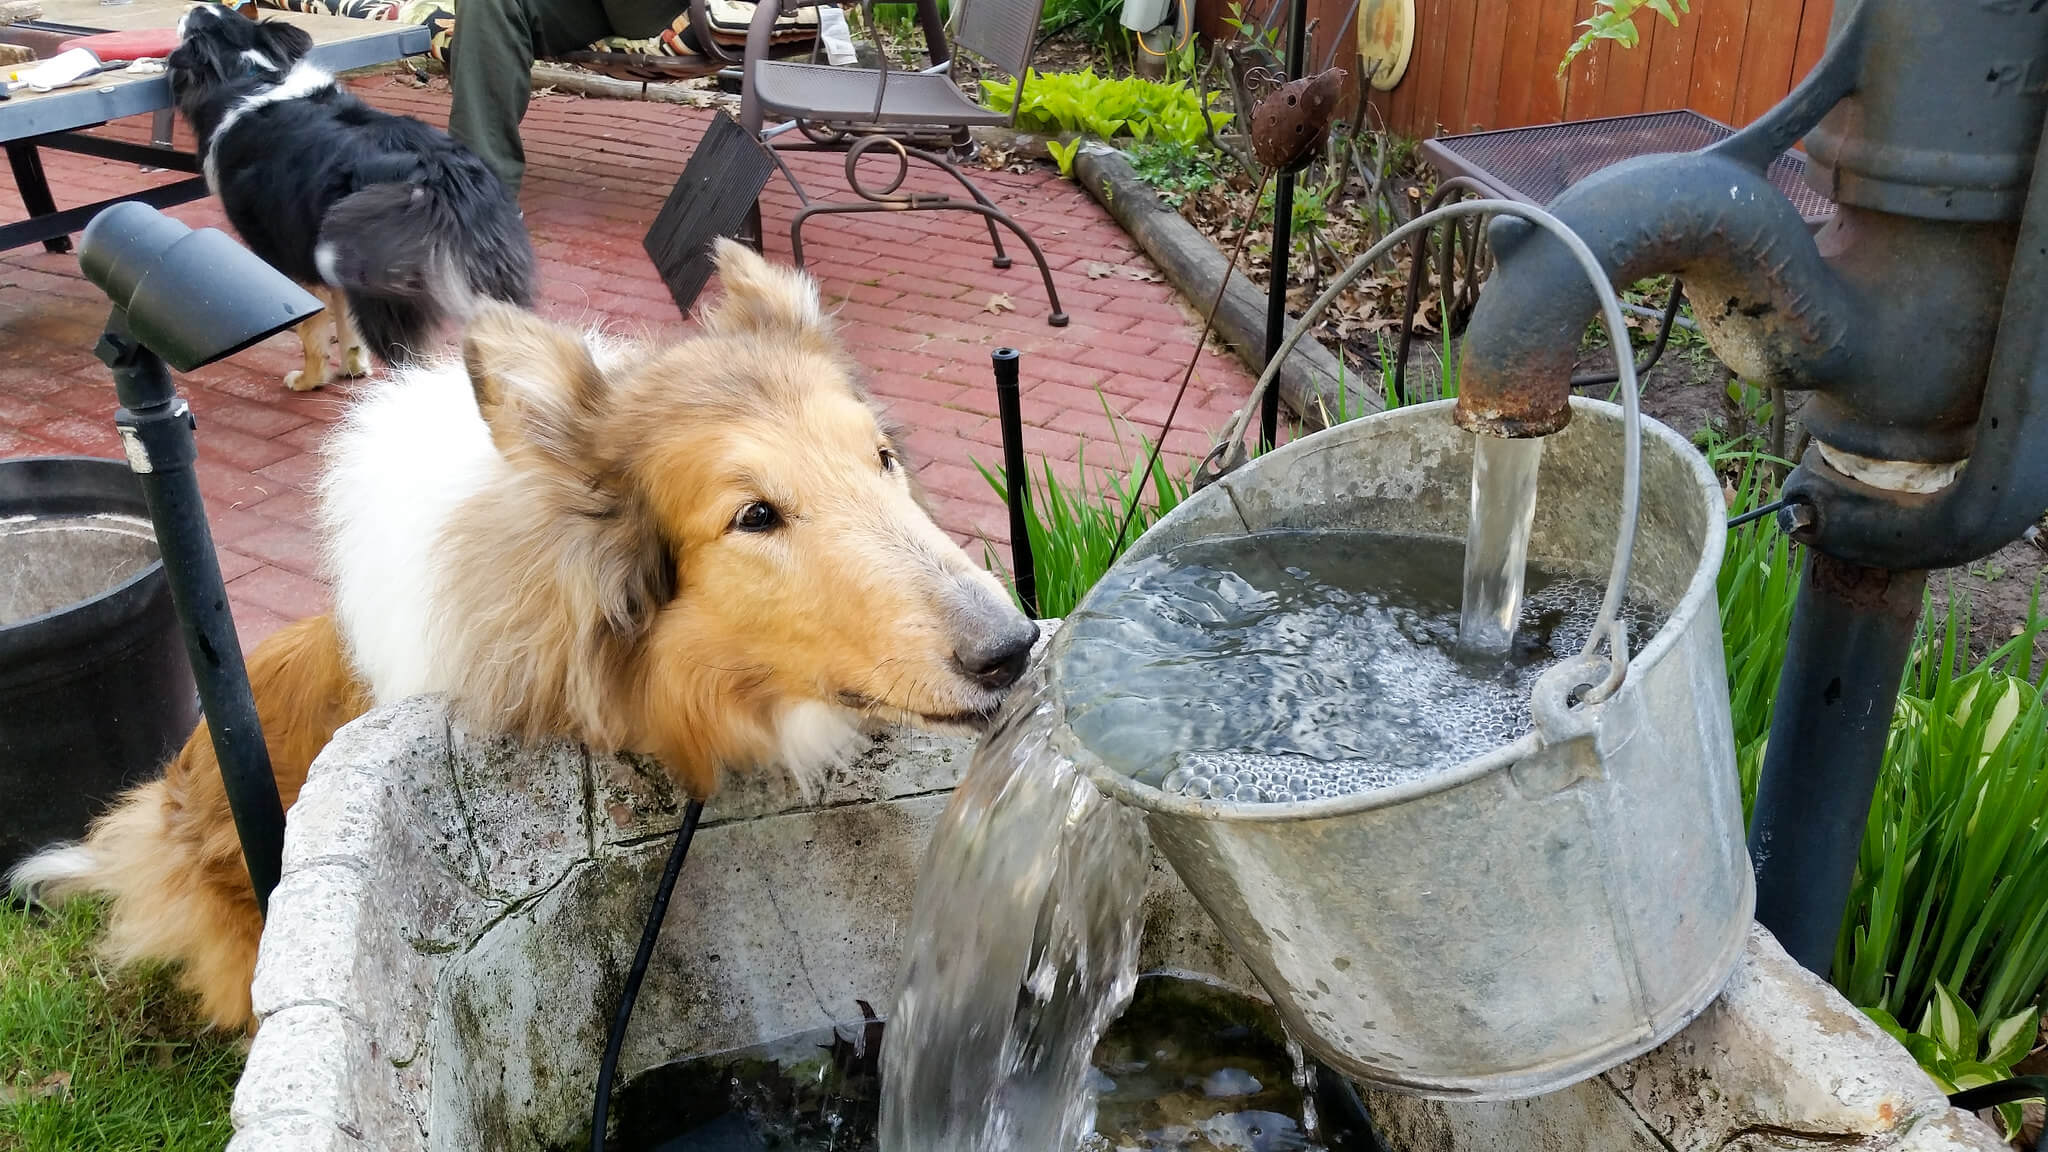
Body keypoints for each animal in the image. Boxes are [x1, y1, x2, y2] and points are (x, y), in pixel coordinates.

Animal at [168, 0, 536, 387]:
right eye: (226, 13)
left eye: (195, 24)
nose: (191, 7)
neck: (249, 73)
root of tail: (442, 180)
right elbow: (347, 329)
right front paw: (353, 369)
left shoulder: (289, 257)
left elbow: (311, 330)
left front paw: (308, 380)